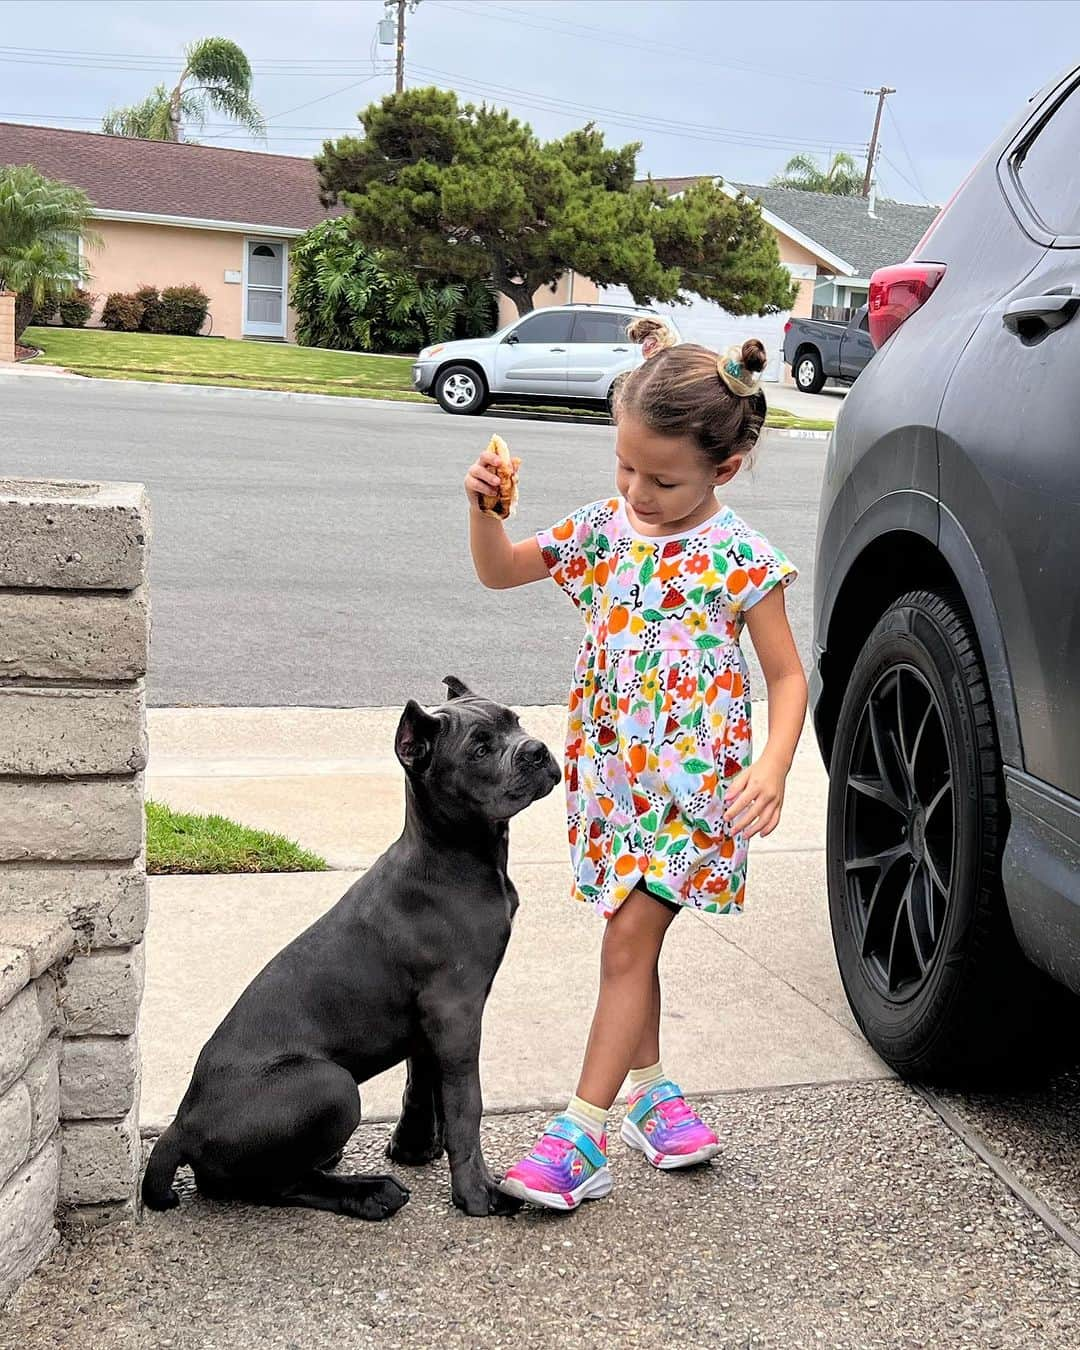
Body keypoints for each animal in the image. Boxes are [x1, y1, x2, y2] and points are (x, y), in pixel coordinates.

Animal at [143, 680, 561, 1220]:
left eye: (516, 721)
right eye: (479, 749)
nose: (537, 750)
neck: (453, 854)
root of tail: (179, 1126)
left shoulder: (430, 1019)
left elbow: (421, 1084)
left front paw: (413, 1148)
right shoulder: (456, 1012)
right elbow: (465, 1106)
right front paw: (477, 1192)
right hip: (331, 1085)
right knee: (278, 1185)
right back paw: (370, 1192)